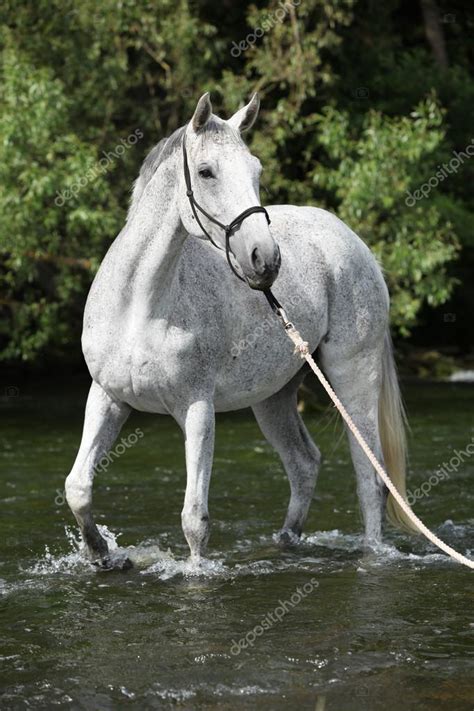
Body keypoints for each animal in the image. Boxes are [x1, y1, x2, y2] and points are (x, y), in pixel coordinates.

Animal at [65, 94, 414, 572]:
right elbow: (78, 487)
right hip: (273, 398)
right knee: (304, 463)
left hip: (352, 377)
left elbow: (194, 518)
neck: (139, 306)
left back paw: (372, 553)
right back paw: (285, 543)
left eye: (256, 170)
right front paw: (101, 555)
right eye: (206, 171)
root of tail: (352, 240)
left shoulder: (197, 407)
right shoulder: (107, 397)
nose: (265, 259)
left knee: (369, 473)